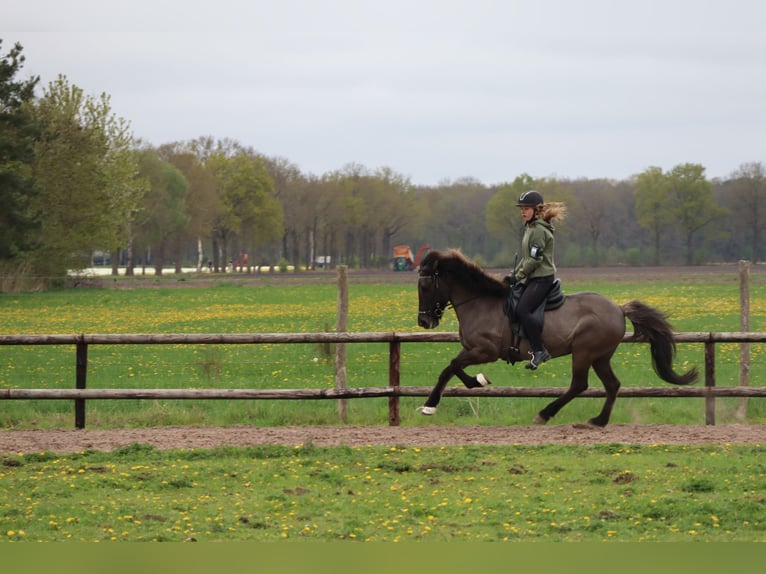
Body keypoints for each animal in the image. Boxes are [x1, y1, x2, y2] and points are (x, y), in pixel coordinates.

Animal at [416, 249, 698, 427]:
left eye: (425, 286)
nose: (424, 322)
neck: (480, 302)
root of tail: (618, 308)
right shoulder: (473, 350)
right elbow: (452, 369)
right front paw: (471, 384)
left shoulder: (485, 351)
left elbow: (451, 367)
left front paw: (445, 397)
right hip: (600, 357)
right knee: (612, 385)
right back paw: (598, 421)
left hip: (584, 352)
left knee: (579, 385)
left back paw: (545, 413)